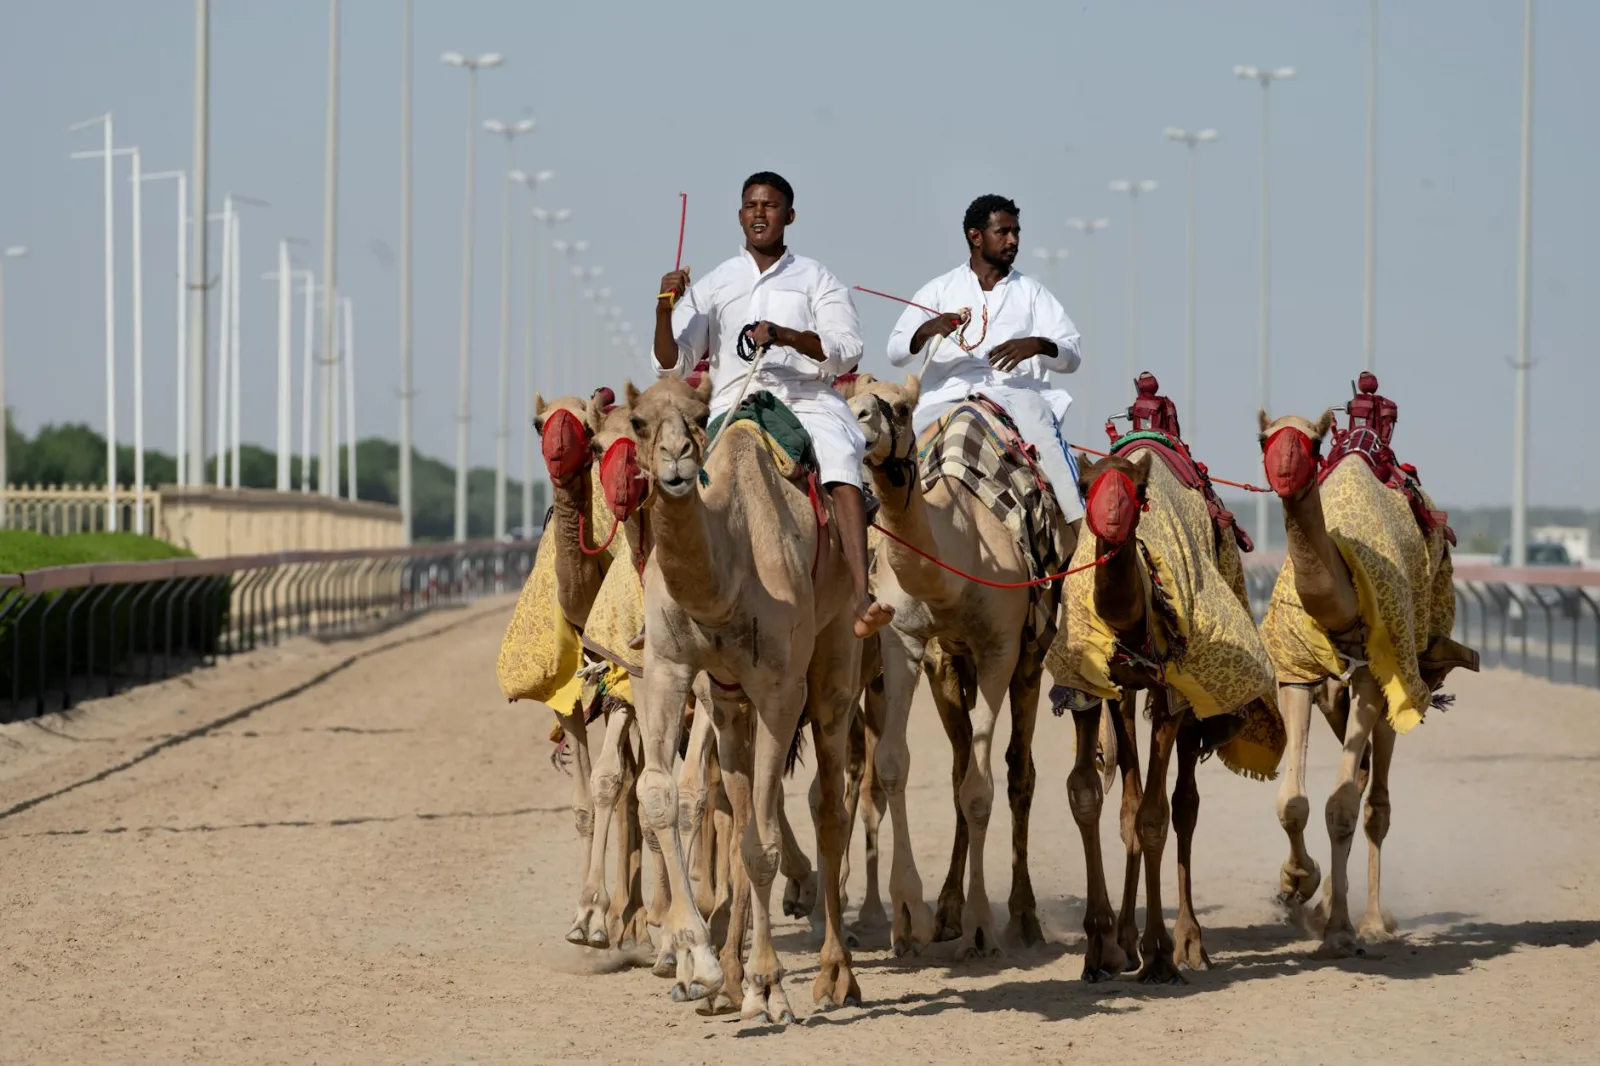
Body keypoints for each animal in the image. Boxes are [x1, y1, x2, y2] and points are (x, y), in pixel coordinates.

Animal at [621, 375, 863, 1024]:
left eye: (699, 414)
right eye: (637, 421)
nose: (677, 461)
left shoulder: (780, 690)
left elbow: (762, 844)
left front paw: (769, 986)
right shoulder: (668, 667)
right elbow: (661, 796)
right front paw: (698, 961)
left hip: (834, 655)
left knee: (829, 805)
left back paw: (835, 975)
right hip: (728, 699)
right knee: (737, 798)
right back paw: (729, 982)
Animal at [843, 374, 1070, 958]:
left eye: (900, 407)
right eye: (848, 399)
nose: (858, 425)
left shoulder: (1000, 649)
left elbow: (981, 791)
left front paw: (983, 925)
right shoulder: (905, 641)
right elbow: (894, 766)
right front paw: (908, 915)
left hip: (1030, 659)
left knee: (1016, 772)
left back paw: (1021, 918)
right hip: (947, 666)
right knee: (959, 763)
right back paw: (945, 910)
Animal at [1258, 390, 1478, 958]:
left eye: (1312, 442)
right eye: (1264, 437)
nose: (1283, 472)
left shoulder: (1374, 683)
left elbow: (1340, 807)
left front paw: (1340, 929)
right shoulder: (1296, 677)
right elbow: (1294, 802)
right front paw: (1296, 885)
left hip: (1401, 691)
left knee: (1374, 802)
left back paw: (1373, 921)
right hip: (1337, 703)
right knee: (1356, 783)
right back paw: (1323, 908)